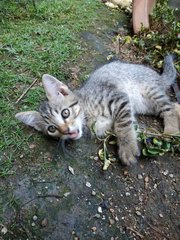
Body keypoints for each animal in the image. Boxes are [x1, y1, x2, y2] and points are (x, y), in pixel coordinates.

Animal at [15, 55, 180, 166]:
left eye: (65, 113)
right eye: (52, 129)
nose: (66, 131)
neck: (87, 117)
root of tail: (158, 76)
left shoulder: (119, 98)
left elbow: (123, 125)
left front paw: (127, 148)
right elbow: (128, 125)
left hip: (150, 92)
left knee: (169, 107)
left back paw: (171, 130)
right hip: (146, 106)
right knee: (172, 104)